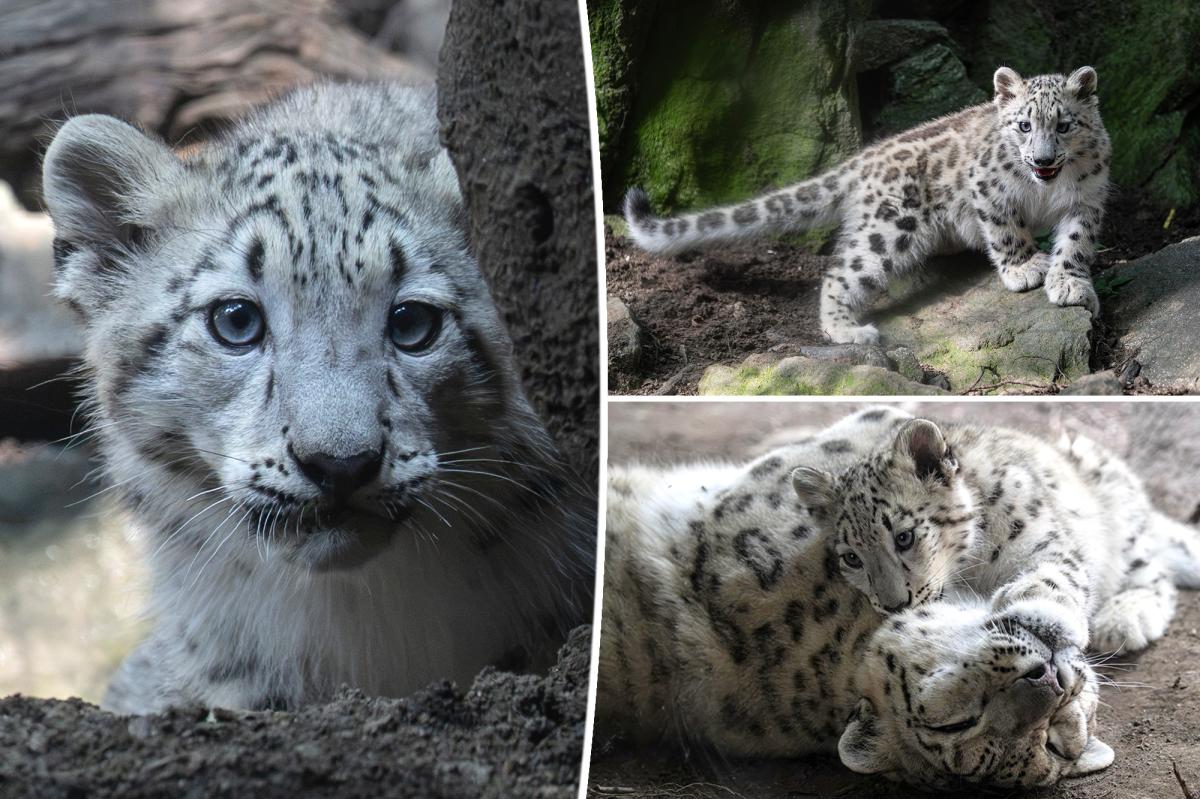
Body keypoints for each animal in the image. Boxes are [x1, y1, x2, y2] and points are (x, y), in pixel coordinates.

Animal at [623, 66, 1111, 345]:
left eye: (1063, 125)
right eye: (1024, 125)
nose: (1043, 160)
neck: (1046, 189)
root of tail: (863, 159)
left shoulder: (1087, 200)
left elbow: (1075, 243)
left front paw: (1069, 283)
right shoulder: (990, 190)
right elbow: (1007, 231)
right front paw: (1026, 268)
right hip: (892, 227)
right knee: (840, 272)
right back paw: (848, 331)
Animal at [791, 415, 1200, 655]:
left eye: (904, 537)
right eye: (852, 557)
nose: (893, 605)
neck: (972, 568)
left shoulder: (1047, 543)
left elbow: (1055, 575)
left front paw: (1032, 604)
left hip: (1121, 522)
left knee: (1154, 572)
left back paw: (1124, 618)